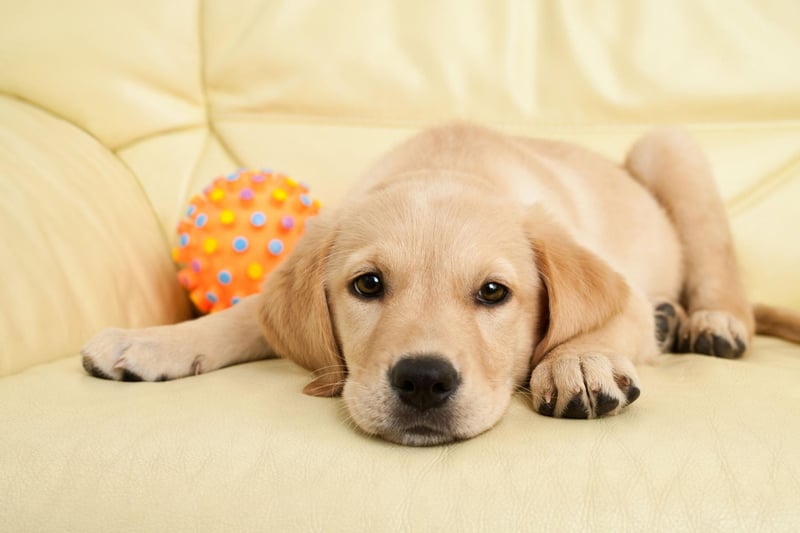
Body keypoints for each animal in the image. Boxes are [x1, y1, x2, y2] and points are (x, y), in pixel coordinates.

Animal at [81, 123, 800, 444]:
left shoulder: (623, 296)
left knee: (722, 279)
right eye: (367, 285)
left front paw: (578, 364)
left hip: (668, 145)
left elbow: (591, 327)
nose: (423, 381)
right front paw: (151, 343)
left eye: (494, 293)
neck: (448, 165)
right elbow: (243, 313)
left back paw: (709, 322)